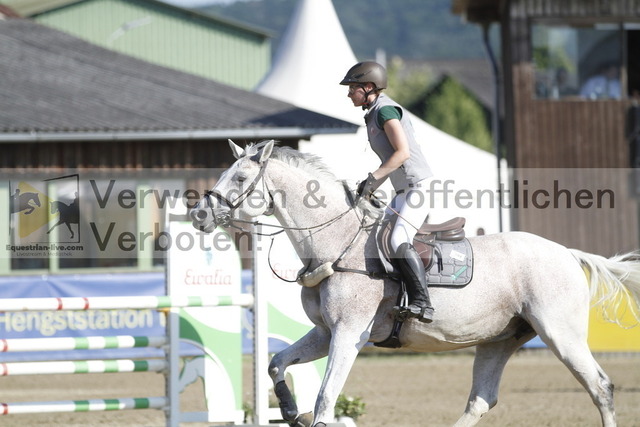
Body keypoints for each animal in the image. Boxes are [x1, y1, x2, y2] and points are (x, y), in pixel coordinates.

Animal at [190, 139, 640, 427]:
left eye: (239, 178)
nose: (199, 216)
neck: (335, 243)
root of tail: (568, 253)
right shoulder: (325, 333)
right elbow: (276, 363)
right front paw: (287, 412)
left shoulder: (349, 334)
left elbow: (326, 401)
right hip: (498, 339)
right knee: (480, 401)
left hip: (560, 334)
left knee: (600, 387)